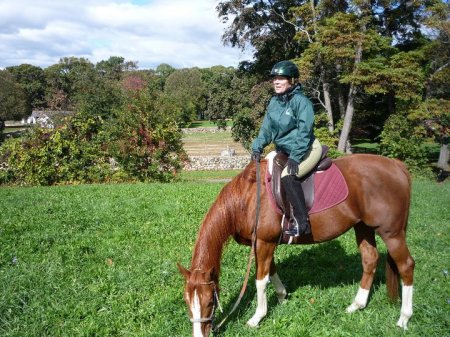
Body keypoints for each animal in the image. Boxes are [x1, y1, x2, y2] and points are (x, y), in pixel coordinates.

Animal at [178, 154, 414, 336]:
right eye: (187, 302)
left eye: (210, 302)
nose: (199, 334)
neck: (248, 199)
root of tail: (397, 165)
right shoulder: (264, 243)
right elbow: (271, 270)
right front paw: (282, 296)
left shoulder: (264, 242)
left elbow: (260, 280)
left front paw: (257, 317)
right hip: (363, 227)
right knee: (370, 259)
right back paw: (357, 305)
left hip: (391, 233)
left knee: (406, 266)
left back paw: (404, 318)